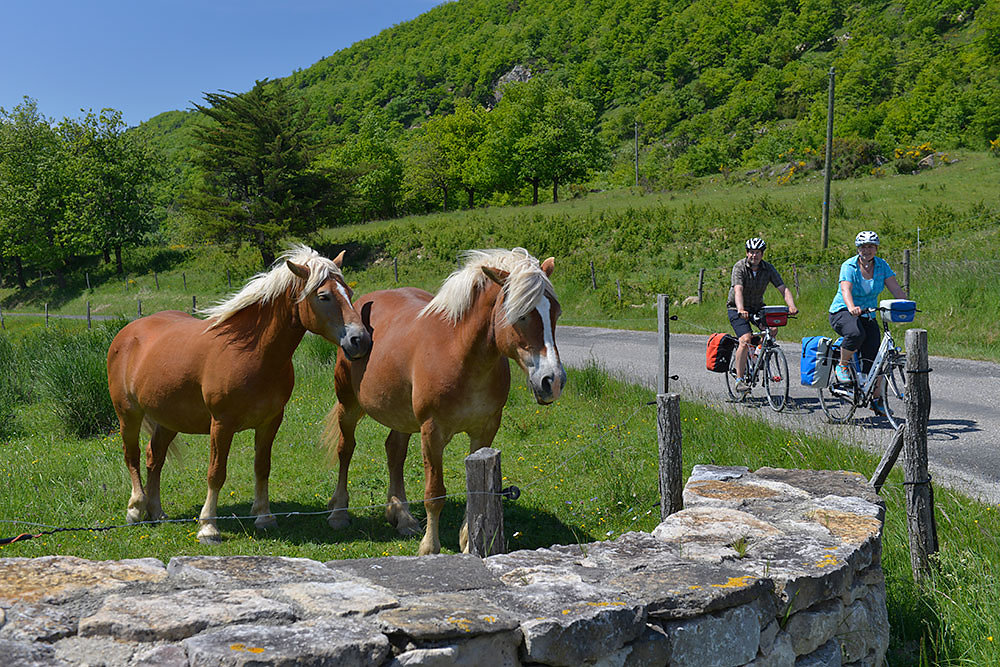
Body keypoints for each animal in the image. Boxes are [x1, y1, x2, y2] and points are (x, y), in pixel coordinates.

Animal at [107, 245, 372, 544]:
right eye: (324, 295)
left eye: (348, 292)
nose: (360, 340)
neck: (252, 352)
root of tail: (127, 332)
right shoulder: (222, 424)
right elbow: (216, 473)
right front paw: (208, 527)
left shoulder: (270, 422)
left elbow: (262, 467)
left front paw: (264, 517)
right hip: (128, 414)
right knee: (132, 456)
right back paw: (135, 509)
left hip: (168, 420)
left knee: (155, 458)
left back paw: (157, 512)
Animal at [324, 248, 568, 556]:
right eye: (521, 315)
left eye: (555, 312)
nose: (553, 381)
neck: (460, 354)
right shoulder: (432, 432)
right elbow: (434, 493)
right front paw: (430, 548)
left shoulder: (485, 431)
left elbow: (475, 488)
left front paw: (468, 544)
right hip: (348, 405)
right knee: (346, 450)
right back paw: (339, 513)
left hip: (401, 416)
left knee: (394, 452)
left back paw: (401, 516)